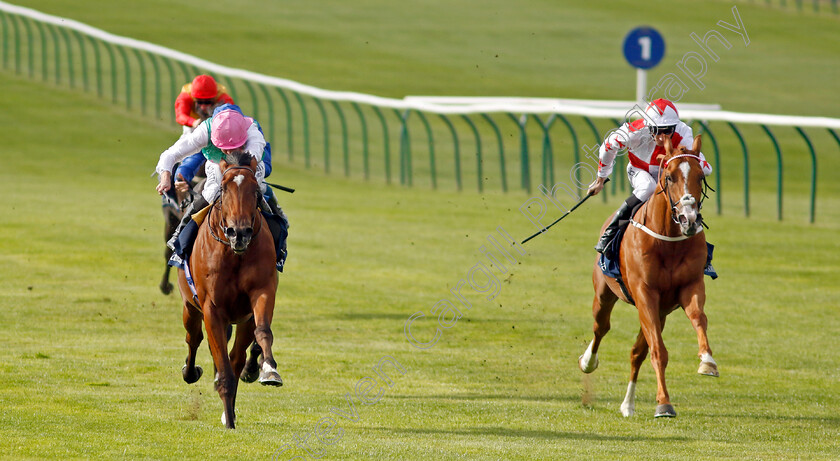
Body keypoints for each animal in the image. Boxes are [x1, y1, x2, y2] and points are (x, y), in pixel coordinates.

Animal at [179, 152, 284, 428]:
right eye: (223, 189)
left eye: (256, 190)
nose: (239, 233)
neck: (234, 254)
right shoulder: (211, 309)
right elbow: (222, 365)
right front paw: (229, 420)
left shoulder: (260, 293)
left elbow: (262, 332)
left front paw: (269, 370)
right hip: (189, 306)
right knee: (194, 338)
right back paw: (190, 372)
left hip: (242, 319)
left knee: (236, 356)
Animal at [580, 134, 720, 416]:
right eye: (670, 176)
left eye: (701, 176)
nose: (689, 219)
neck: (669, 241)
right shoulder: (645, 292)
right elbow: (658, 351)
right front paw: (664, 404)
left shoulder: (690, 286)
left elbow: (699, 318)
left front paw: (707, 361)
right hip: (605, 295)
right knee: (601, 327)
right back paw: (588, 362)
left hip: (660, 311)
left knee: (636, 353)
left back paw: (628, 405)